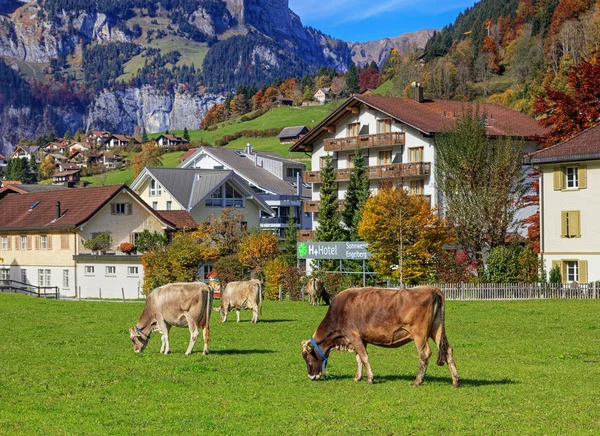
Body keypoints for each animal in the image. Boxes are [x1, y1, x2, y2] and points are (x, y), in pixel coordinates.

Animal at [300, 288, 460, 386]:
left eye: (307, 357)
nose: (310, 377)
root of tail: (431, 289)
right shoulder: (362, 338)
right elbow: (359, 358)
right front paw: (357, 377)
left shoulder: (353, 335)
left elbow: (364, 357)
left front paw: (370, 378)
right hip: (436, 329)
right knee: (448, 350)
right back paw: (456, 381)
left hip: (419, 334)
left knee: (424, 353)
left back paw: (417, 381)